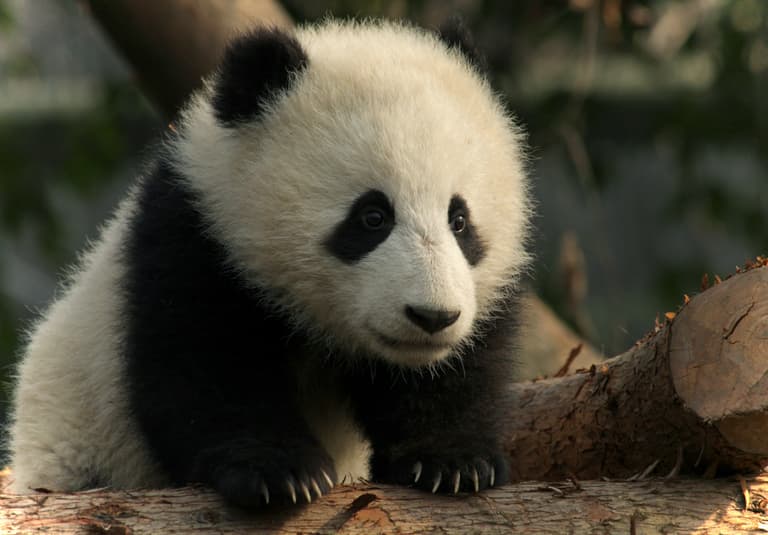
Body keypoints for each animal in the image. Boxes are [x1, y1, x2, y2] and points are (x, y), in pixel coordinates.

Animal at [7, 19, 531, 508]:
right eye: (372, 217)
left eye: (459, 220)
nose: (433, 316)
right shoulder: (197, 241)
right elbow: (205, 368)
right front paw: (280, 473)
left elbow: (455, 374)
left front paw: (452, 461)